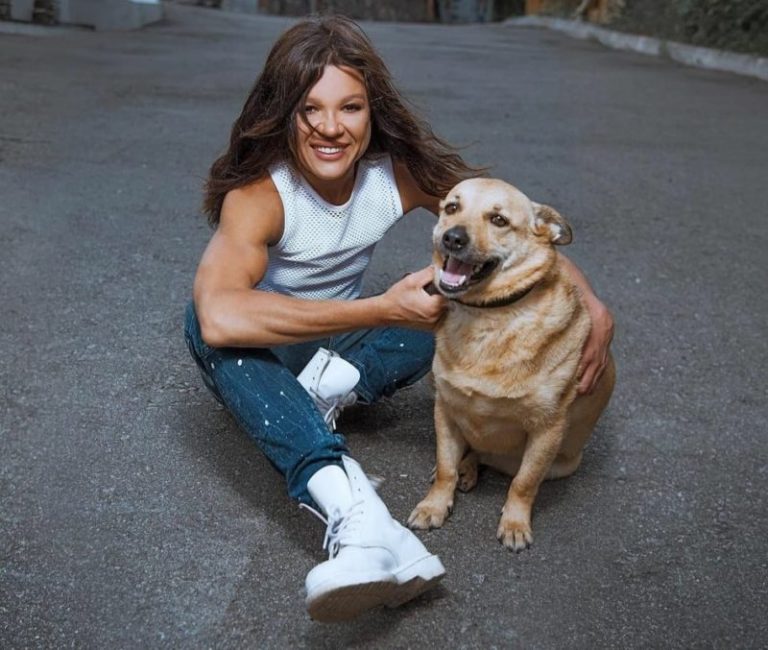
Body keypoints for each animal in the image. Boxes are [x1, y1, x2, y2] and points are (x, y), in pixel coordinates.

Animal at [408, 178, 615, 551]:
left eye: (499, 220)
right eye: (452, 208)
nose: (453, 238)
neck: (488, 318)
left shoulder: (548, 430)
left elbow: (524, 483)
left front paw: (515, 524)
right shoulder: (445, 409)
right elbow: (444, 466)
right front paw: (434, 505)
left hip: (563, 463)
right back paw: (465, 469)